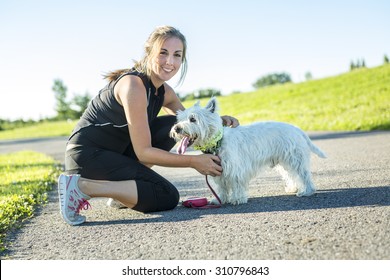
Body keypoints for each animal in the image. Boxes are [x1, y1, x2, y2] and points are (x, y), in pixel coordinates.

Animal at [171, 97, 326, 205]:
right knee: (292, 175)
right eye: (180, 119)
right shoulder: (219, 170)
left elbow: (236, 184)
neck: (218, 142)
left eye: (192, 119)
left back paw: (306, 191)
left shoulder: (235, 169)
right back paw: (293, 188)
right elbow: (221, 187)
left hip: (294, 159)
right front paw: (220, 199)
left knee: (303, 175)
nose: (177, 128)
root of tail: (296, 128)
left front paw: (237, 199)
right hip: (285, 161)